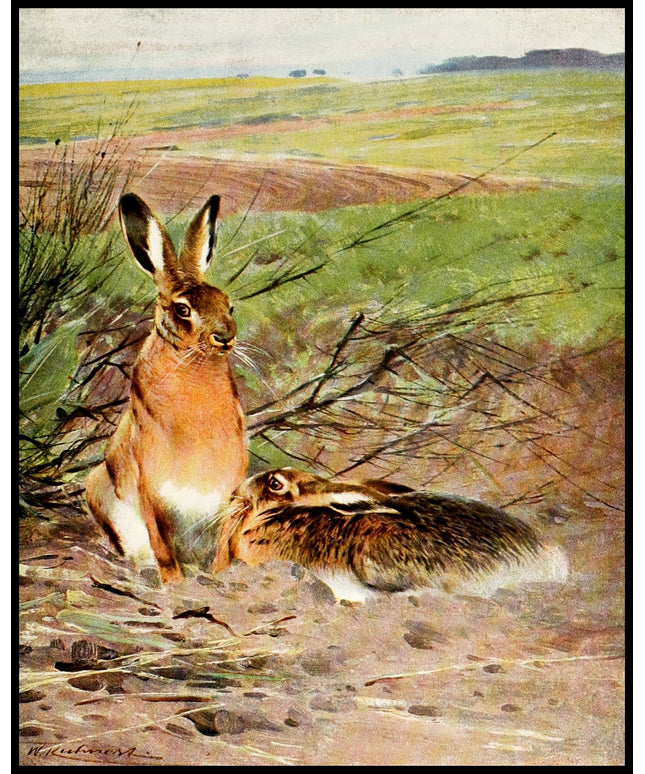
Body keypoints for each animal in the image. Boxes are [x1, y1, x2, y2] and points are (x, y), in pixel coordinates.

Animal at [85, 193, 248, 583]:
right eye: (182, 309)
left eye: (229, 304)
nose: (226, 337)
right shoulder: (150, 490)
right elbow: (162, 545)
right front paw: (174, 584)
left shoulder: (230, 494)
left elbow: (223, 548)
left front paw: (216, 578)